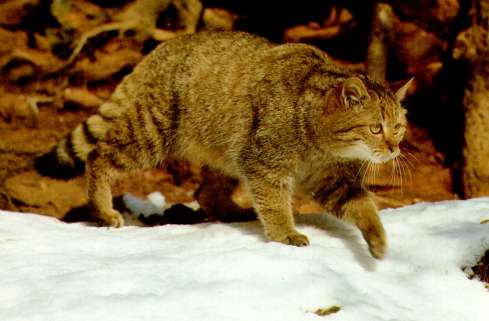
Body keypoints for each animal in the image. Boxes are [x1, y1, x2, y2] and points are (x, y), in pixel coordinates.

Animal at [38, 31, 410, 258]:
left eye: (399, 127)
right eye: (376, 128)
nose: (394, 148)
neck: (322, 142)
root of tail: (164, 47)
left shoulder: (331, 179)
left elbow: (364, 206)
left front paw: (377, 241)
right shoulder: (264, 166)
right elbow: (276, 204)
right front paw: (284, 234)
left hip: (227, 152)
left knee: (206, 192)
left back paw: (237, 213)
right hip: (152, 134)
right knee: (99, 155)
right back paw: (103, 211)